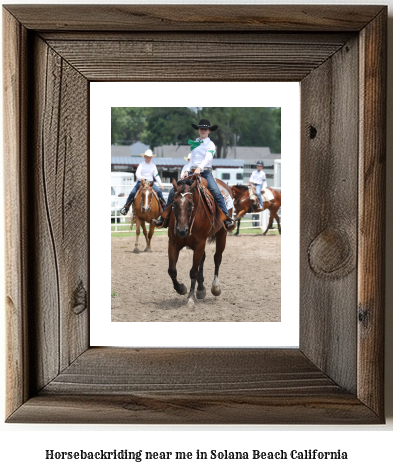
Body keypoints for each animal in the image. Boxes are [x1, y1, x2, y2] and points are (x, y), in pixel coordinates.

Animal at [166, 176, 233, 306]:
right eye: (174, 203)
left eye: (190, 203)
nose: (182, 231)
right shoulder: (173, 243)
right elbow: (172, 270)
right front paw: (181, 288)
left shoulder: (199, 244)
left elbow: (193, 272)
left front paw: (190, 298)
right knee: (203, 258)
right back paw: (201, 289)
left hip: (222, 234)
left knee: (217, 258)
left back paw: (215, 287)